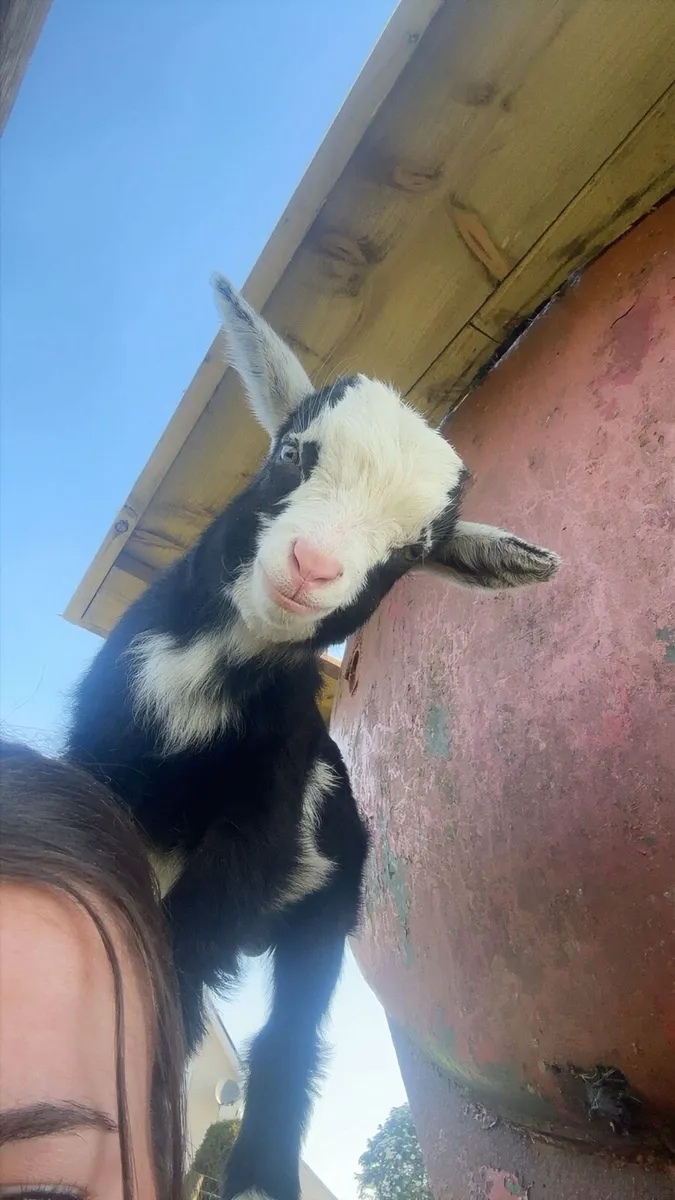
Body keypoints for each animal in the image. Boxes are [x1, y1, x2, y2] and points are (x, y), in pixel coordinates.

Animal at [65, 275, 561, 1200]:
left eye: (410, 552)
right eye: (293, 453)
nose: (312, 568)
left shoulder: (264, 815)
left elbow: (181, 959)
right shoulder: (105, 761)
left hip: (326, 914)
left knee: (287, 1043)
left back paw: (258, 1176)